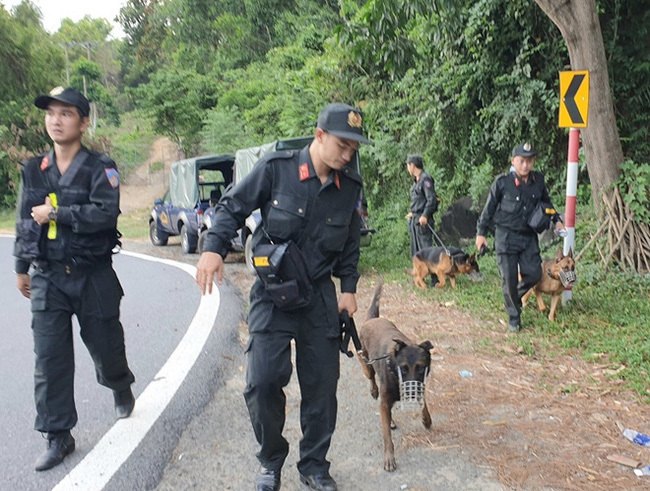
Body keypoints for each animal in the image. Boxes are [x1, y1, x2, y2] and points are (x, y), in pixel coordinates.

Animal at [356, 284, 432, 472]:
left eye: (420, 368)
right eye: (402, 369)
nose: (411, 395)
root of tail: (372, 319)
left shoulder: (420, 386)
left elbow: (424, 403)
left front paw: (426, 419)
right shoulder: (384, 402)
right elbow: (387, 437)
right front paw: (389, 457)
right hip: (367, 363)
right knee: (369, 374)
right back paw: (373, 389)